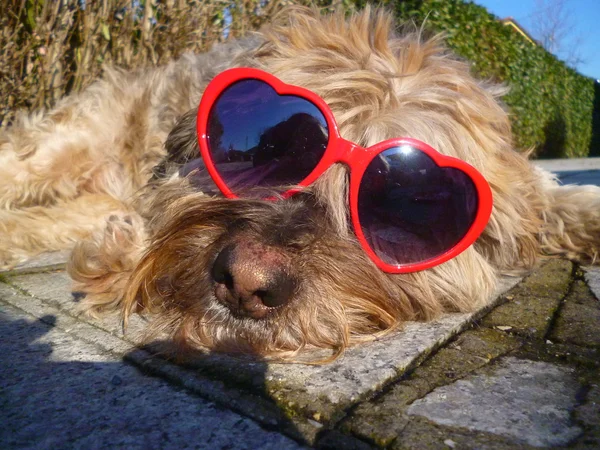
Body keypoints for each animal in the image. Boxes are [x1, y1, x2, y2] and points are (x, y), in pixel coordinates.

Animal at [1, 5, 600, 360]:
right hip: (63, 146)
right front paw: (121, 259)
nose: (245, 283)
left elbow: (547, 197)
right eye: (272, 151)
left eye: (407, 201)